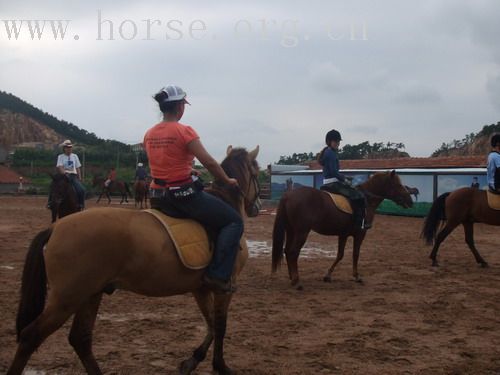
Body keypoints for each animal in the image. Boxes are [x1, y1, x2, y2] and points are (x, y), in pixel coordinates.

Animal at [7, 146, 262, 375]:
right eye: (257, 171)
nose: (257, 208)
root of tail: (56, 227)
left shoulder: (200, 288)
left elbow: (210, 324)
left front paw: (192, 361)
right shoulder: (223, 288)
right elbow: (220, 325)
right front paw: (220, 366)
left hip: (90, 293)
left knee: (80, 338)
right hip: (68, 298)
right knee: (31, 337)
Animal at [272, 171, 412, 290]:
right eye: (398, 184)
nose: (409, 201)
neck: (367, 200)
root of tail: (288, 195)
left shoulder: (343, 234)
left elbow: (340, 255)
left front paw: (328, 276)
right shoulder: (360, 234)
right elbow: (355, 254)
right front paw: (357, 276)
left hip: (291, 230)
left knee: (287, 250)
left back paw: (292, 278)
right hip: (302, 232)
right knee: (293, 252)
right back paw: (297, 282)